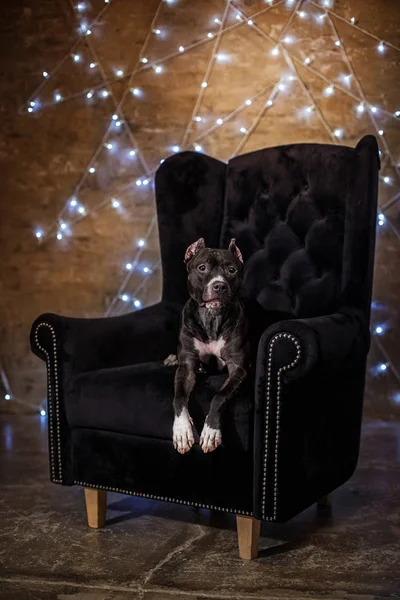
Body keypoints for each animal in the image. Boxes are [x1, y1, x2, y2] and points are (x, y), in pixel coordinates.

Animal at [167, 237, 248, 452]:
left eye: (231, 270)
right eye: (202, 268)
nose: (219, 286)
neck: (212, 318)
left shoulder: (238, 368)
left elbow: (219, 396)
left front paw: (211, 431)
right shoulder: (187, 367)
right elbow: (179, 398)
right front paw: (182, 431)